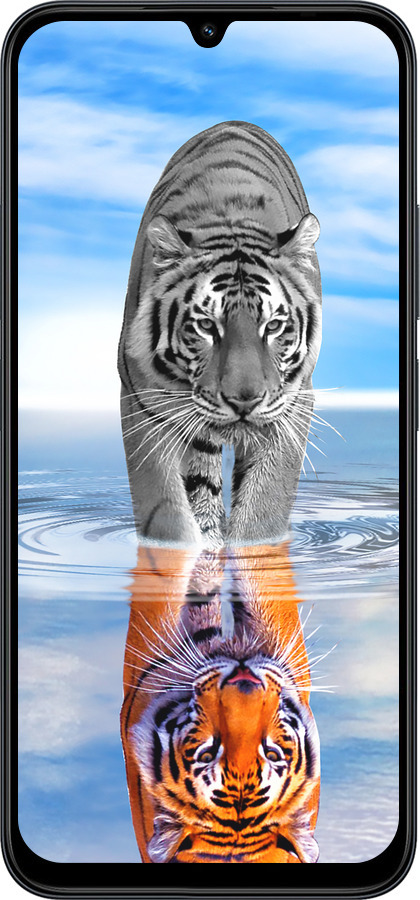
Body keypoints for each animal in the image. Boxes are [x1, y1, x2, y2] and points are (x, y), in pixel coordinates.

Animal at [118, 120, 322, 548]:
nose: (244, 401)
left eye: (273, 326)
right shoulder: (142, 401)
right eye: (207, 326)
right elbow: (166, 512)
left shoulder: (293, 405)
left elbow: (263, 509)